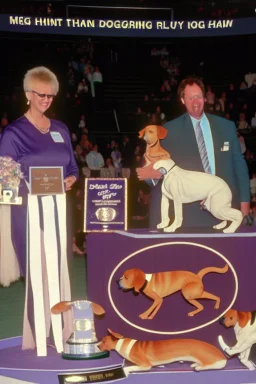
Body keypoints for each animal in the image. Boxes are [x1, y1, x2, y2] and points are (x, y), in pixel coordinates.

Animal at [98, 328, 226, 376]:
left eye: (103, 341)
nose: (98, 346)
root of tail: (222, 356)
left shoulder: (145, 365)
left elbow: (129, 367)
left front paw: (126, 370)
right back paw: (195, 364)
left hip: (210, 361)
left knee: (209, 366)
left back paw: (199, 366)